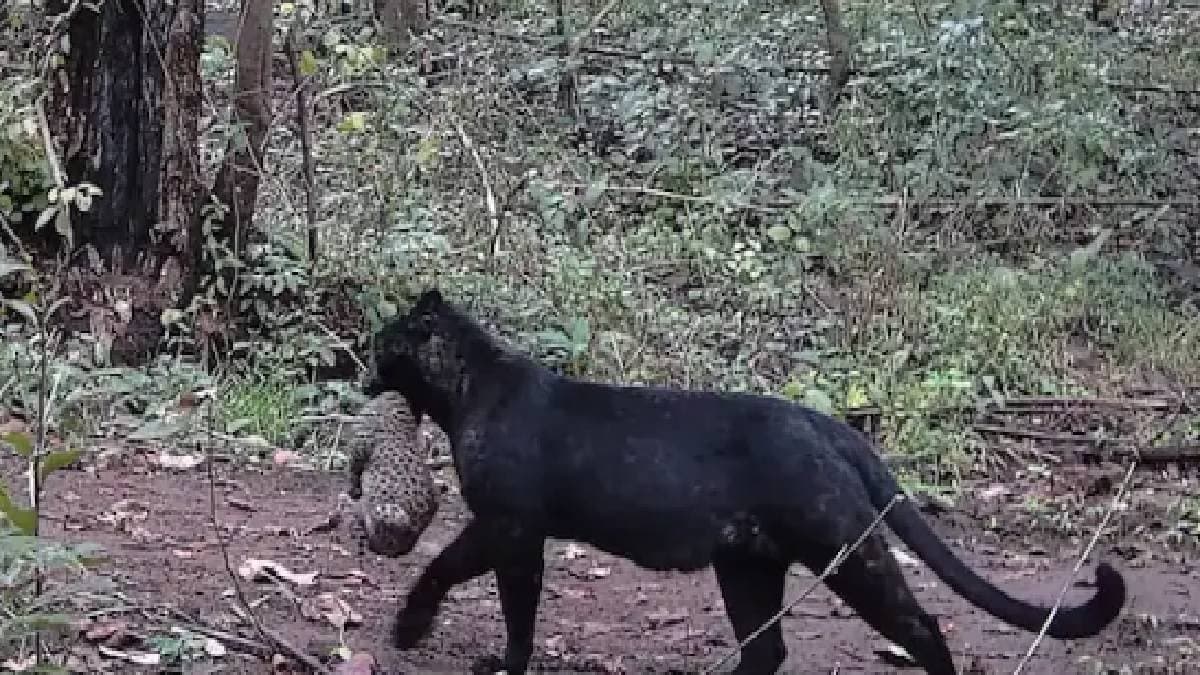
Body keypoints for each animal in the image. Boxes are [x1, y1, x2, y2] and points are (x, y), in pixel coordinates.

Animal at [363, 288, 1126, 675]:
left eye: (382, 344)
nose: (362, 368)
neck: (468, 391)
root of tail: (827, 423)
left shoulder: (511, 526)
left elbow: (487, 589)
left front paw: (463, 647)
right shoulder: (505, 527)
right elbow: (459, 571)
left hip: (841, 547)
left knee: (919, 624)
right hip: (748, 564)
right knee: (767, 648)